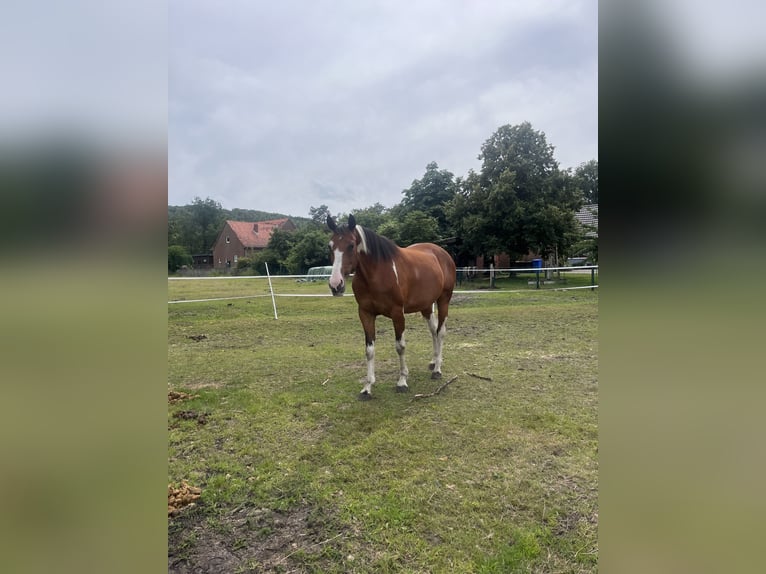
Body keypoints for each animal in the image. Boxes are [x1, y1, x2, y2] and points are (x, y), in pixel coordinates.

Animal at [326, 214, 456, 400]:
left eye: (351, 245)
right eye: (330, 246)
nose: (336, 285)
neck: (377, 273)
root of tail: (441, 253)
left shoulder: (397, 314)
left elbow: (400, 346)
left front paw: (402, 381)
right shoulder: (365, 313)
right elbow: (369, 350)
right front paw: (367, 387)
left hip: (444, 300)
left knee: (440, 331)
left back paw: (437, 369)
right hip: (426, 306)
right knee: (433, 331)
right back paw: (433, 362)